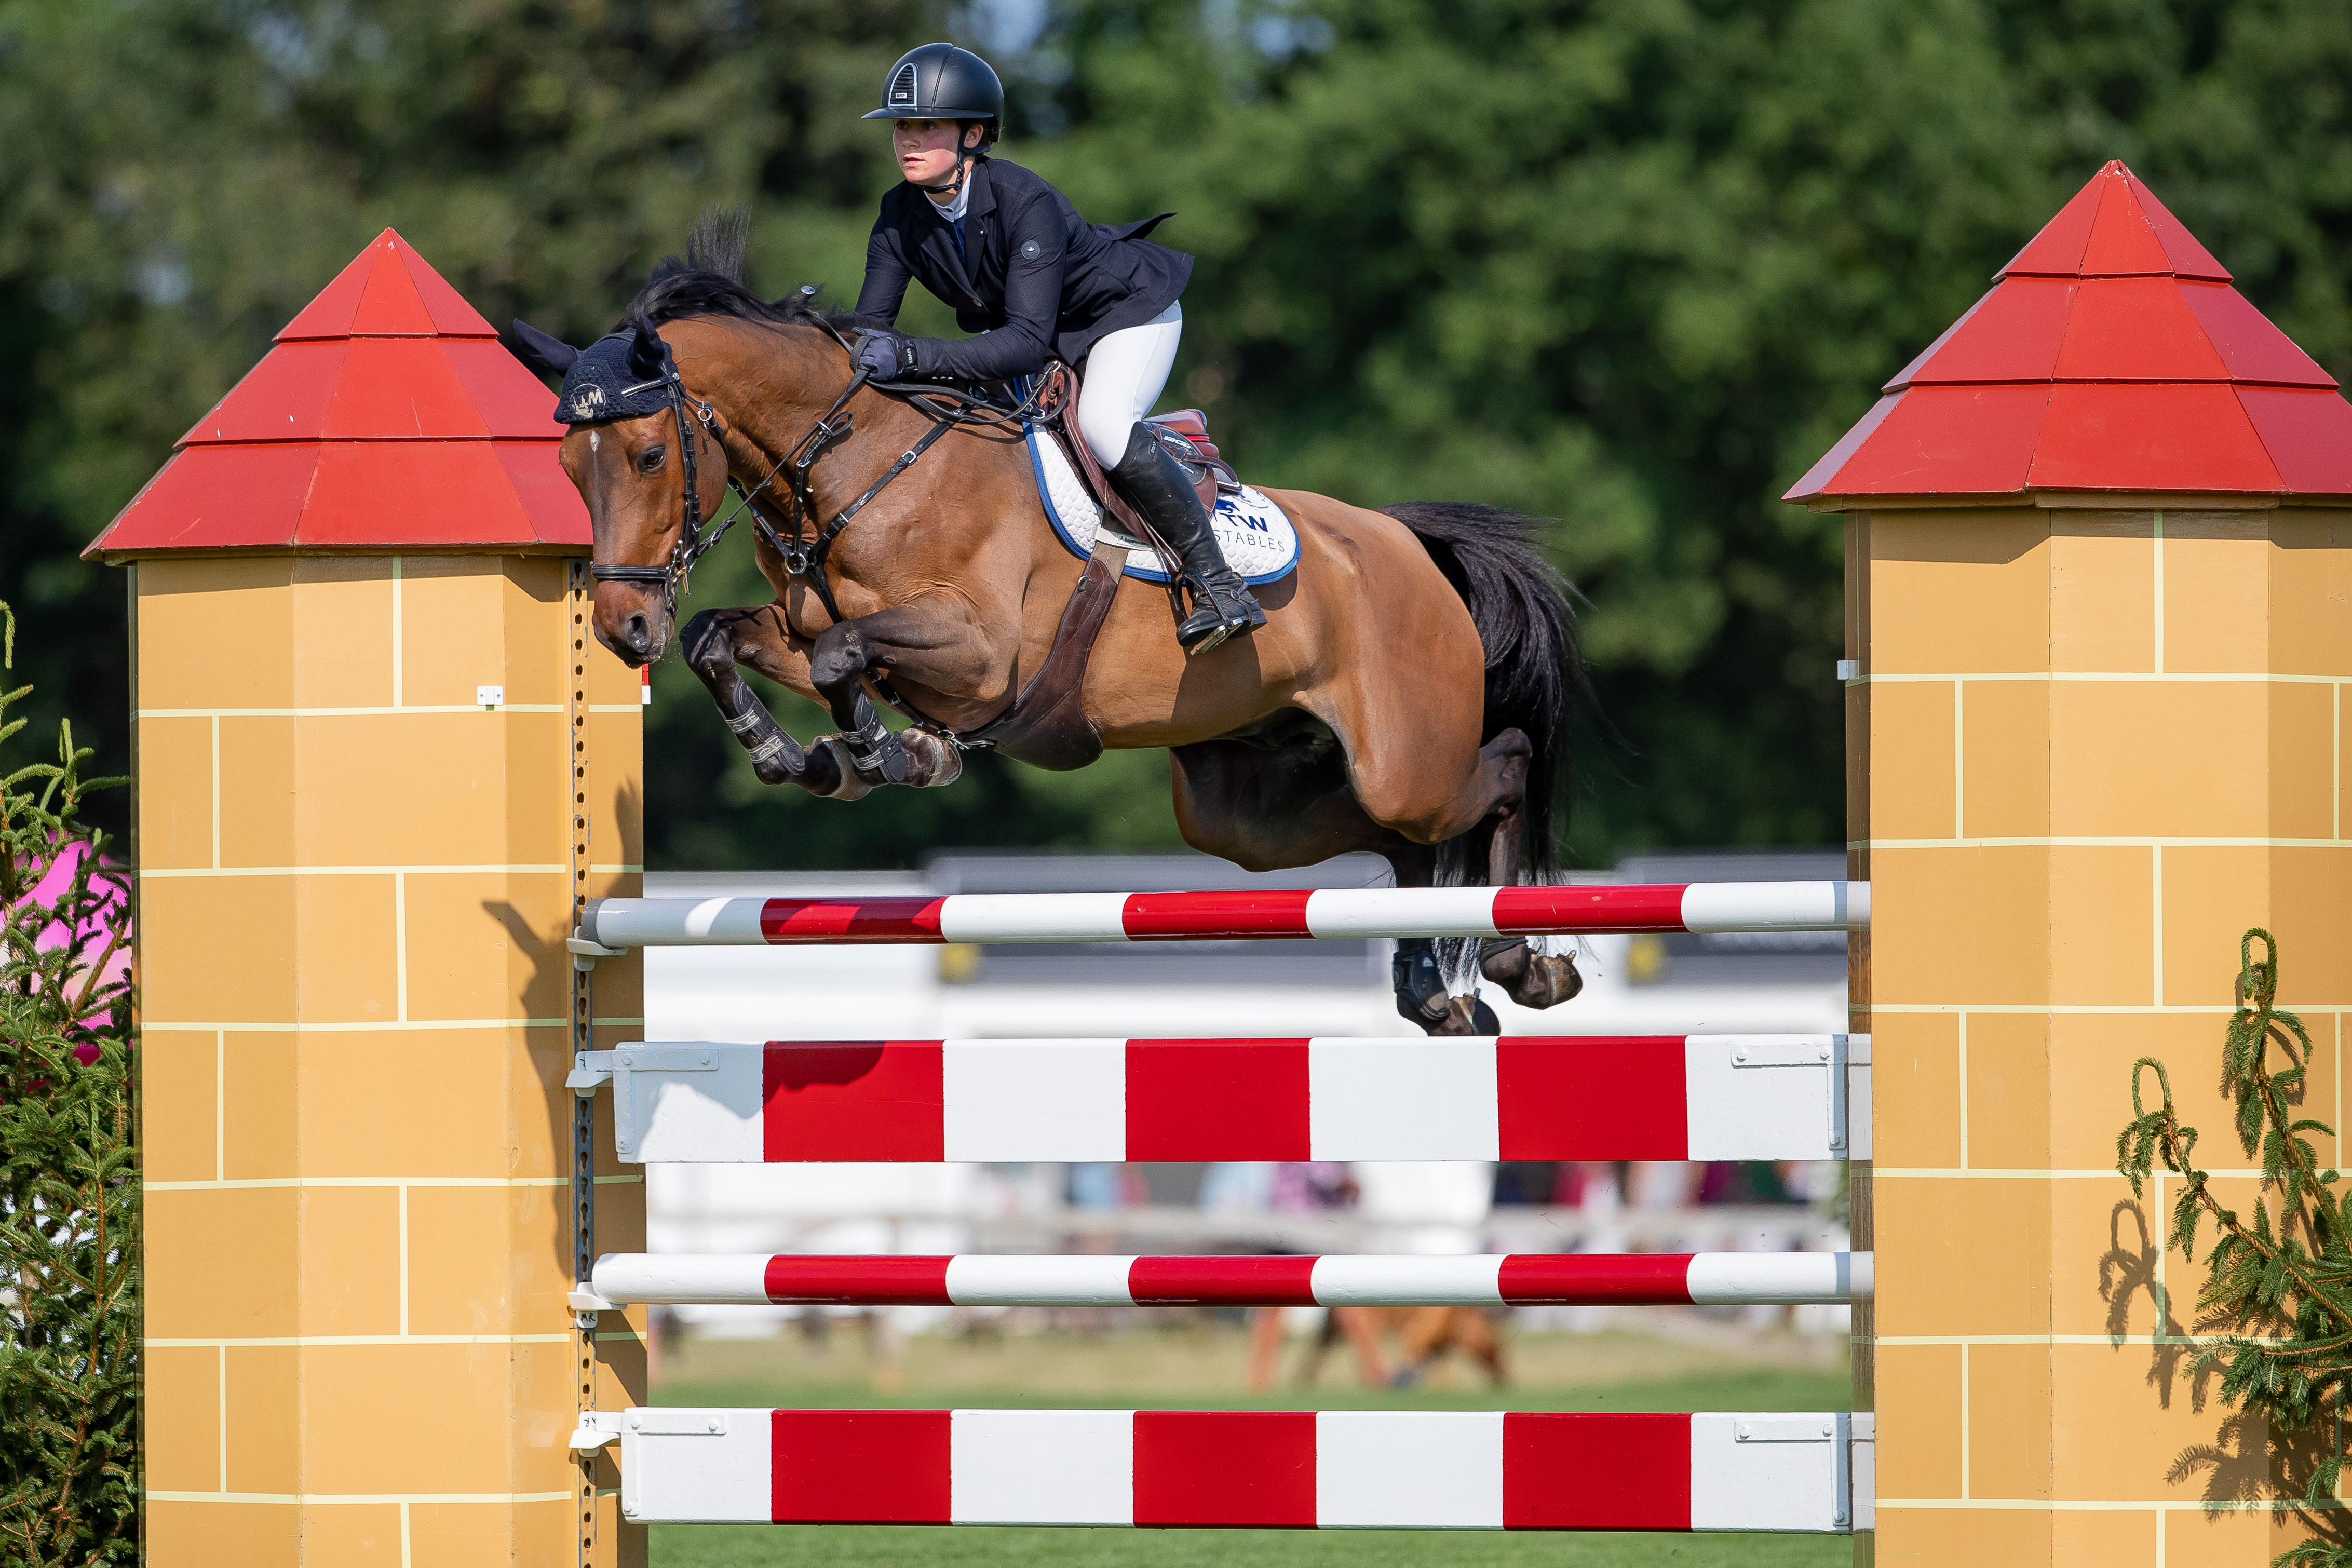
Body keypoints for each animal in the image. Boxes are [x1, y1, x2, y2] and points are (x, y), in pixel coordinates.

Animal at [536, 227, 1588, 1034]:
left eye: (645, 454)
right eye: (569, 464)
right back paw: (1436, 993)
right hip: (1244, 806)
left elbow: (845, 657)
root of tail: (1405, 543)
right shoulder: (809, 631)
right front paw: (795, 754)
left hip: (1405, 755)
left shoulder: (981, 657)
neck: (858, 467)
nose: (625, 628)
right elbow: (727, 640)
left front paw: (885, 755)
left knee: (1498, 768)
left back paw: (1526, 962)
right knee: (1395, 841)